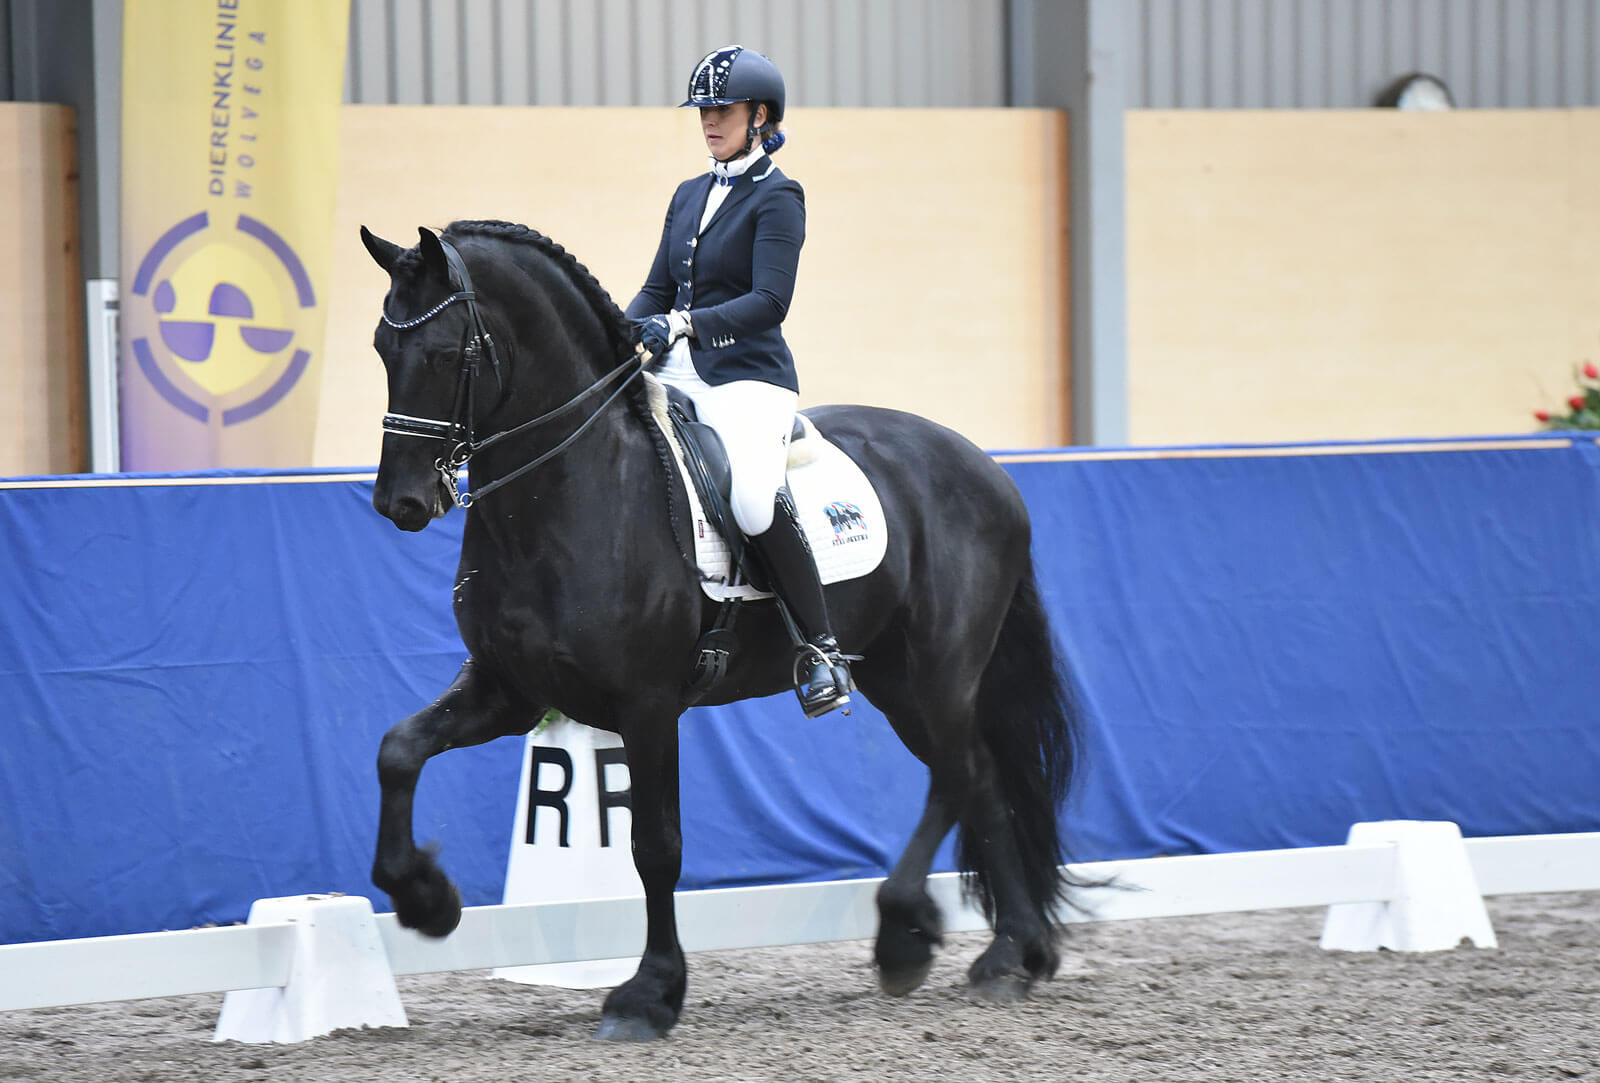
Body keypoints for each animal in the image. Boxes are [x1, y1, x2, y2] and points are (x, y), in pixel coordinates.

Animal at [361, 219, 1088, 1036]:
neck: (574, 486)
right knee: (984, 780)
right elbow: (399, 750)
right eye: (382, 348)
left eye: (445, 352)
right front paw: (426, 899)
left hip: (936, 671)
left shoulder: (647, 705)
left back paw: (905, 937)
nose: (401, 503)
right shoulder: (509, 689)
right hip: (899, 678)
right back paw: (1010, 957)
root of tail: (987, 467)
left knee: (960, 774)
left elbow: (656, 846)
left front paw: (649, 993)